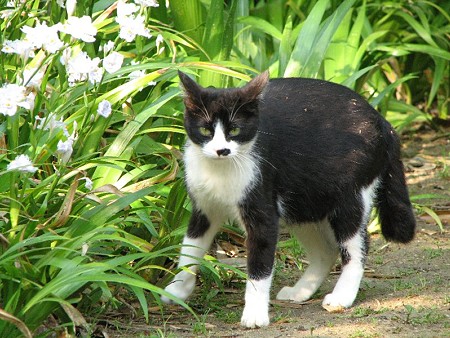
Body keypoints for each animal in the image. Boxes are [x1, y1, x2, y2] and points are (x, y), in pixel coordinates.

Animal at [161, 70, 414, 328]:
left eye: (234, 130)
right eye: (205, 131)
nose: (222, 150)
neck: (219, 171)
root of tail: (383, 121)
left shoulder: (262, 208)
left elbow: (259, 267)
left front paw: (255, 314)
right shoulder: (204, 209)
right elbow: (189, 249)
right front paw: (177, 290)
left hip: (350, 195)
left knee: (356, 246)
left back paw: (342, 296)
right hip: (304, 202)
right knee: (326, 251)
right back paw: (300, 291)